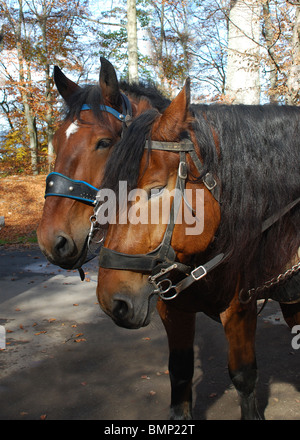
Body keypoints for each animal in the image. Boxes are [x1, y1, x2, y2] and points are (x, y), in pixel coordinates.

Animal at [95, 80, 300, 420]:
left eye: (155, 190)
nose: (114, 303)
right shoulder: (174, 308)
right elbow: (180, 373)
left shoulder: (241, 307)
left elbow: (244, 376)